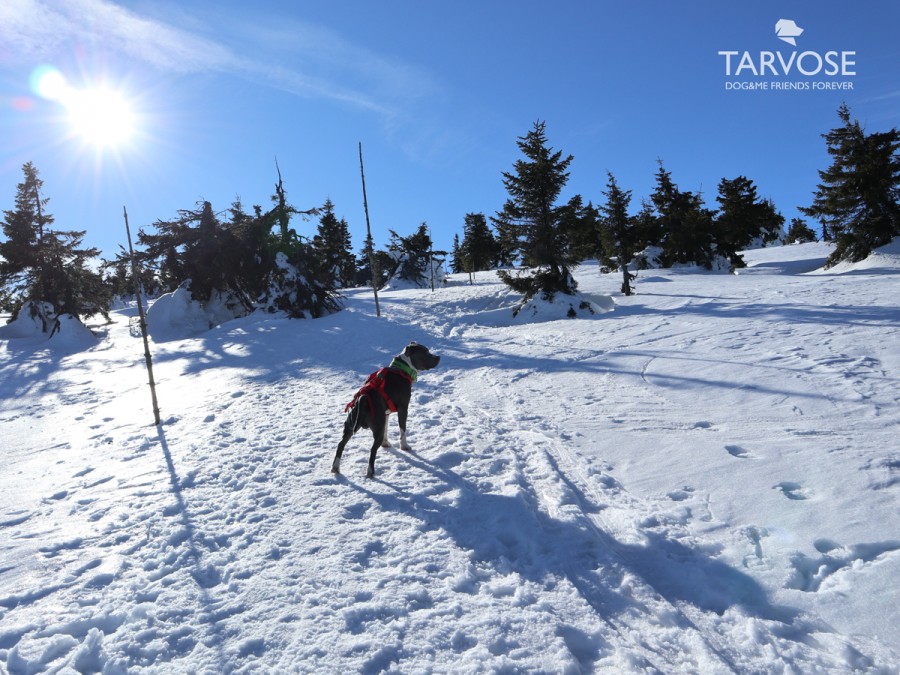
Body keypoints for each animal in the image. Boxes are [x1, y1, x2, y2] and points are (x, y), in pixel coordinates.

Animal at [332, 344, 442, 480]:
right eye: (425, 353)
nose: (438, 357)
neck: (402, 369)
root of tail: (363, 398)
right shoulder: (403, 409)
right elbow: (402, 430)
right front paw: (404, 446)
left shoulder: (386, 414)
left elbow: (386, 428)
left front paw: (386, 443)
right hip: (374, 428)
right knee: (372, 450)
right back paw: (370, 471)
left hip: (350, 425)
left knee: (340, 444)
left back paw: (336, 467)